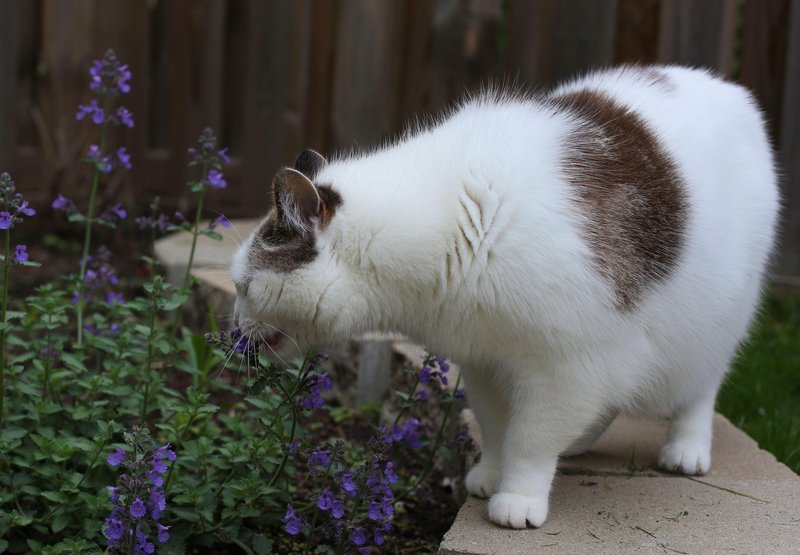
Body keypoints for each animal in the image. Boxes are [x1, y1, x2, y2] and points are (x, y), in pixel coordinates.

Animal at [231, 66, 780, 528]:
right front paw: (492, 475)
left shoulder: (566, 365)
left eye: (243, 286)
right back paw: (580, 441)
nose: (233, 328)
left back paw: (686, 449)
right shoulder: (487, 360)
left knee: (698, 390)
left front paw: (518, 497)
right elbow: (498, 429)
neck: (456, 229)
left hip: (708, 326)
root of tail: (729, 88)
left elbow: (531, 439)